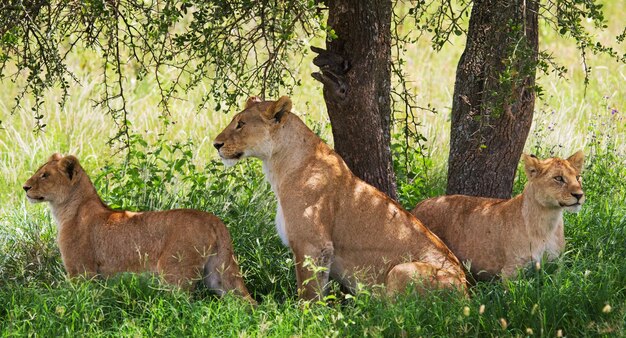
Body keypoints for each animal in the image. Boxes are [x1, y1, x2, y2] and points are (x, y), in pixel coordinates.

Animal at [23, 154, 254, 302]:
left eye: (45, 175)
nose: (25, 187)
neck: (66, 210)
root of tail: (213, 220)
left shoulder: (82, 272)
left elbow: (81, 303)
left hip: (174, 274)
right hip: (219, 274)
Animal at [212, 96, 466, 300]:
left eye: (241, 124)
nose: (216, 144)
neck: (278, 166)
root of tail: (467, 291)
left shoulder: (313, 244)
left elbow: (308, 292)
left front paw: (304, 319)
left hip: (400, 271)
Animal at [412, 152, 584, 282]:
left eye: (578, 177)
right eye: (558, 178)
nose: (579, 195)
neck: (548, 220)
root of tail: (418, 205)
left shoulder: (557, 265)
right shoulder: (511, 271)